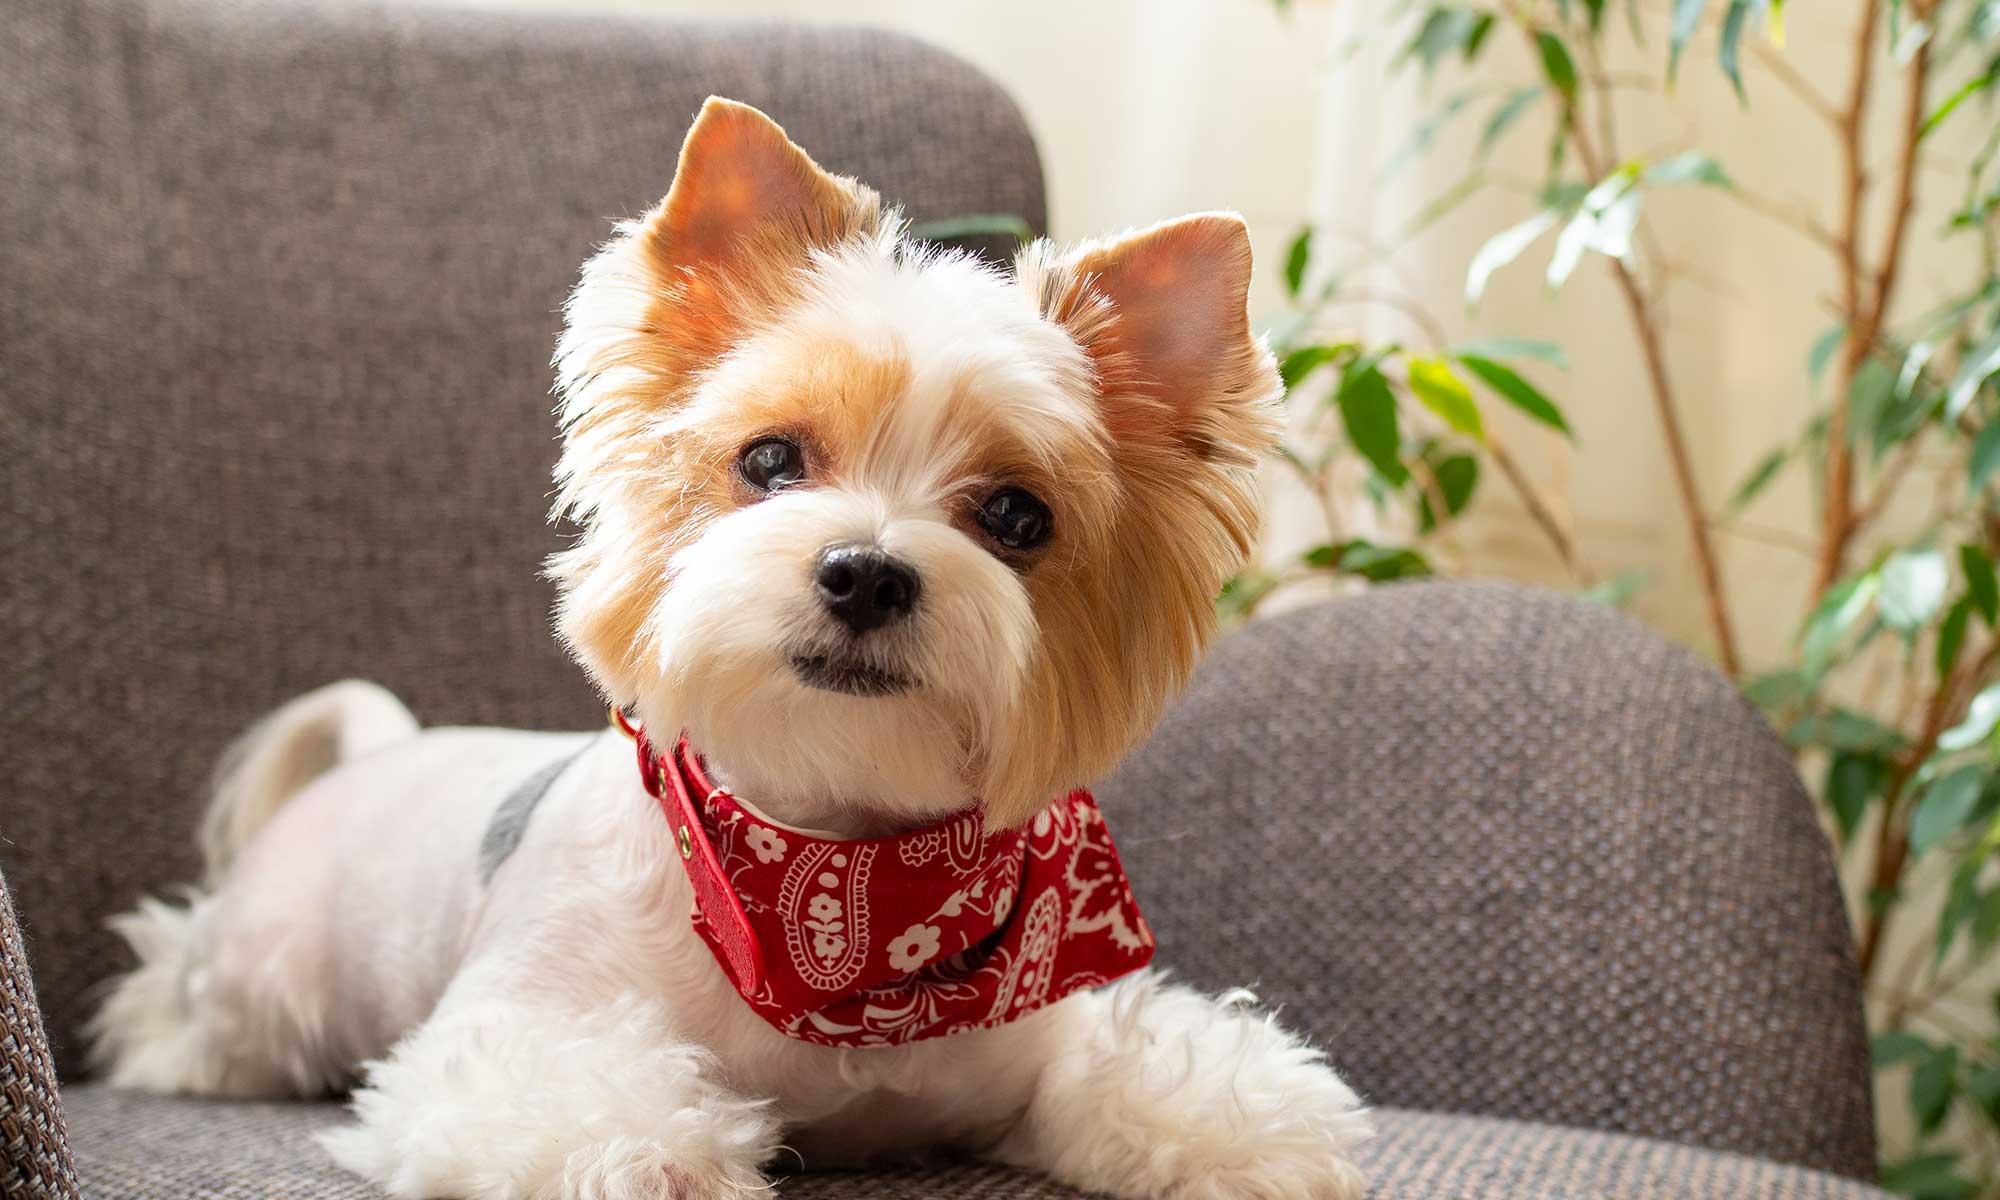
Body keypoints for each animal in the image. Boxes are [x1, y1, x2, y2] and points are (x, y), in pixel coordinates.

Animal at [97, 98, 1376, 1200]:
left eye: (1016, 516)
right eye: (768, 460)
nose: (866, 571)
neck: (836, 857)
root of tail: (381, 746)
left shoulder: (1035, 1035)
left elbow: (1134, 1069)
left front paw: (1237, 1134)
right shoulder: (514, 1026)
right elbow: (568, 1100)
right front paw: (656, 1152)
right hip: (258, 976)